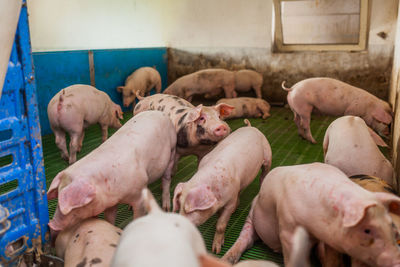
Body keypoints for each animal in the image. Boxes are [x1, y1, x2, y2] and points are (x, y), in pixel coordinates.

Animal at [46, 111, 176, 239]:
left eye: (75, 206)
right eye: (58, 195)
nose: (51, 224)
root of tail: (161, 113)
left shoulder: (138, 196)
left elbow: (138, 215)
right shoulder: (110, 202)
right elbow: (109, 218)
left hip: (172, 150)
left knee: (166, 178)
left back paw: (166, 207)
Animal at [172, 121, 272, 255]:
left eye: (189, 210)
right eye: (179, 204)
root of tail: (251, 127)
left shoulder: (229, 201)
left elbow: (221, 225)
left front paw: (216, 251)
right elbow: (219, 217)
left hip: (268, 156)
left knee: (264, 174)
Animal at [222, 163, 400, 267]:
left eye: (391, 225)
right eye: (367, 230)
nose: (397, 261)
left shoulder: (331, 239)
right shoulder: (287, 226)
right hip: (252, 215)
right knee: (245, 238)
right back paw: (225, 259)